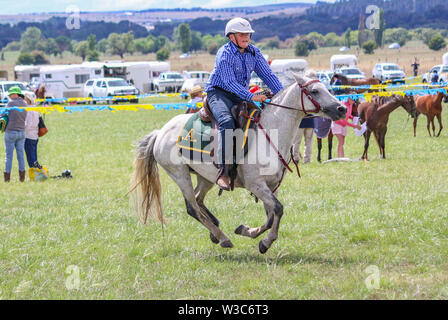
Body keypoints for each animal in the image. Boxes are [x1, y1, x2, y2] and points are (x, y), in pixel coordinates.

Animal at [130, 74, 346, 252]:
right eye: (314, 91)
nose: (342, 108)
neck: (270, 134)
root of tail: (160, 132)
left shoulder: (271, 186)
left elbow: (271, 216)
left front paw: (248, 231)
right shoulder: (256, 184)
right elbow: (278, 209)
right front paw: (265, 242)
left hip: (205, 177)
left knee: (199, 200)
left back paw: (215, 230)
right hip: (179, 174)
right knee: (192, 207)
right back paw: (222, 237)